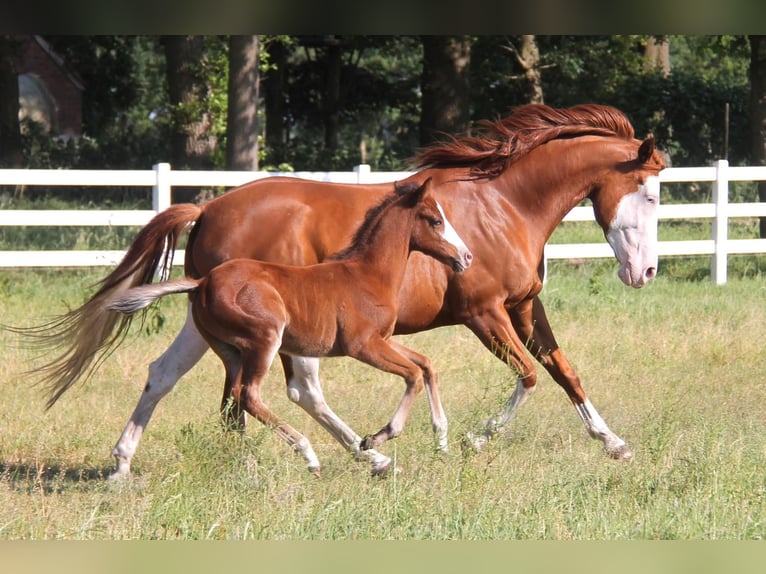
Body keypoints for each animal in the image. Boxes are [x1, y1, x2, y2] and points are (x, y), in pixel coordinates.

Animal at [105, 179, 473, 475]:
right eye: (436, 220)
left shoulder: (382, 340)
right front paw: (378, 437)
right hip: (265, 339)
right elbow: (413, 374)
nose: (466, 257)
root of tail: (202, 282)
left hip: (230, 350)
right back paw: (309, 454)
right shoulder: (363, 345)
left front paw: (440, 440)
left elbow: (426, 365)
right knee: (250, 395)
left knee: (232, 398)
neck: (366, 274)